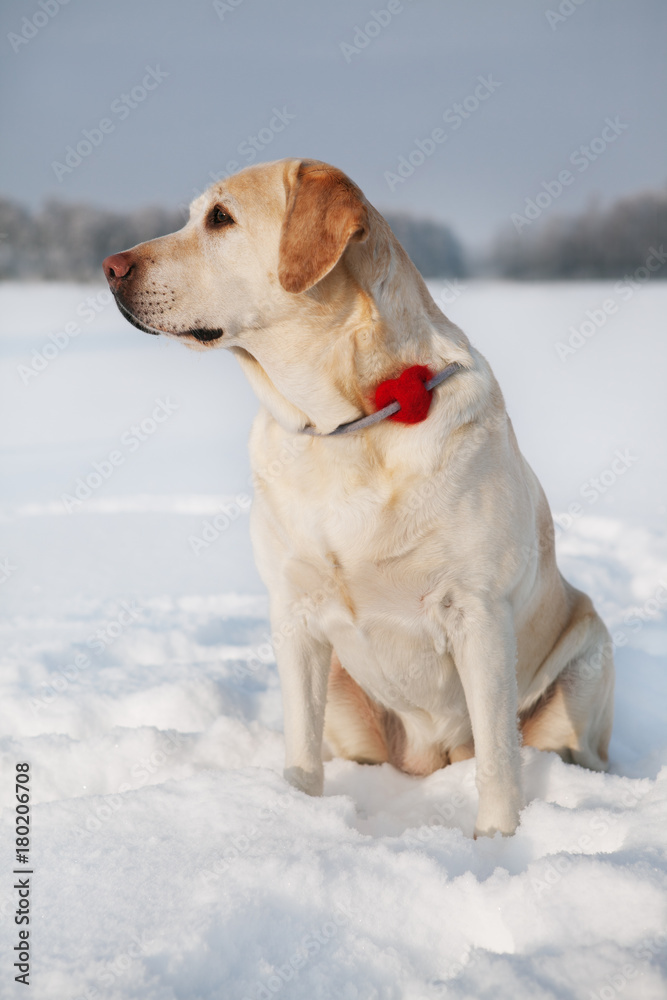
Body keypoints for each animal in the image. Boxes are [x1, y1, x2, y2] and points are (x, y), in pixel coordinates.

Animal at [102, 156, 620, 836]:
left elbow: (499, 761)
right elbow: (300, 747)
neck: (343, 426)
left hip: (587, 661)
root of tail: (432, 754)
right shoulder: (292, 613)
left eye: (220, 217)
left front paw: (495, 843)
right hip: (349, 697)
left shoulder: (478, 612)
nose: (108, 267)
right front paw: (292, 816)